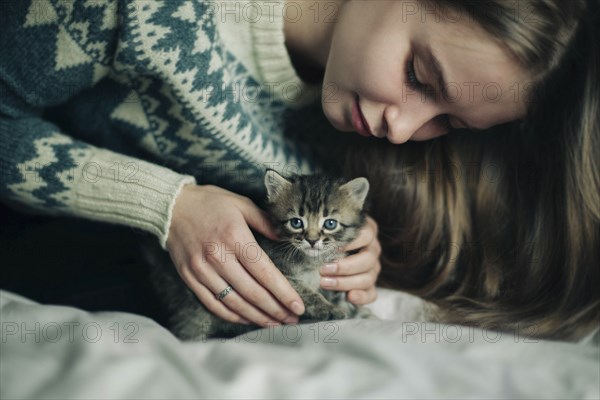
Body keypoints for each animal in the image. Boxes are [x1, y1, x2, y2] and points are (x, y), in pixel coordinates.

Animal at [146, 169, 370, 340]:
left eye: (330, 223)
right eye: (296, 222)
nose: (312, 240)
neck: (311, 259)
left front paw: (359, 311)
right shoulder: (278, 273)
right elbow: (305, 292)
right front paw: (329, 309)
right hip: (192, 309)